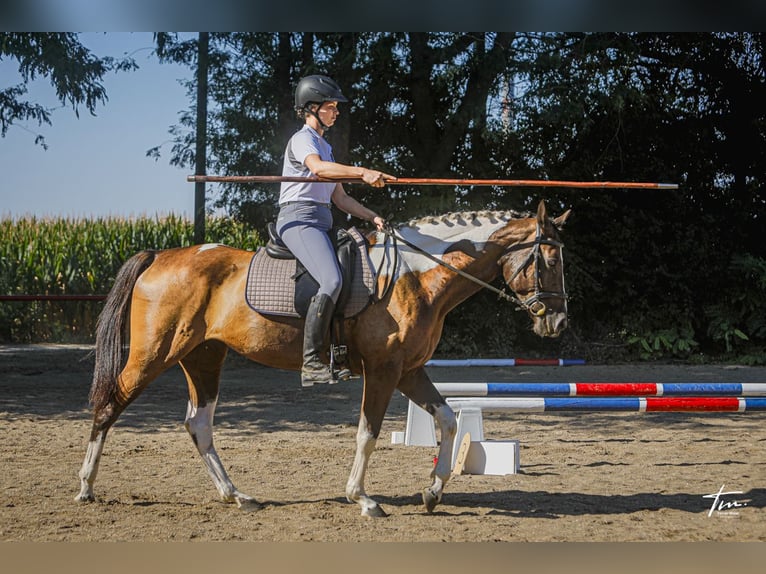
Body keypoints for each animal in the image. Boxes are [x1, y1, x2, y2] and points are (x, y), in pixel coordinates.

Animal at [76, 200, 568, 520]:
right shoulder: (384, 371)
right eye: (547, 260)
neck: (416, 276)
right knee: (109, 405)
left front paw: (433, 491)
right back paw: (85, 487)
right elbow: (368, 433)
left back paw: (237, 496)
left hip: (204, 358)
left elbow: (447, 419)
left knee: (198, 424)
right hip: (153, 355)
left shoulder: (409, 370)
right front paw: (362, 498)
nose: (558, 321)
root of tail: (160, 256)